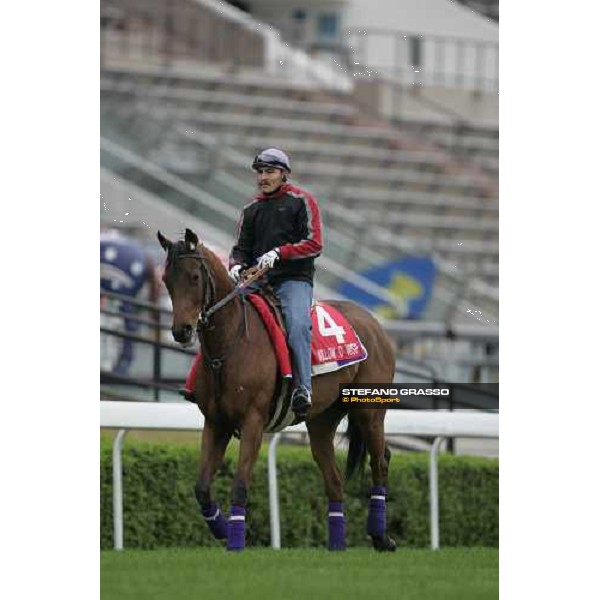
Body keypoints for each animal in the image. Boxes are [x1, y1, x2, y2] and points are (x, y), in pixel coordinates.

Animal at [157, 230, 396, 552]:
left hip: (369, 412)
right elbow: (202, 488)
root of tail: (374, 323)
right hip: (321, 421)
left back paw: (381, 537)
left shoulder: (253, 421)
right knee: (334, 479)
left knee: (380, 461)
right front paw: (224, 530)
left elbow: (240, 485)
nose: (181, 331)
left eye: (194, 277)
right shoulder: (216, 423)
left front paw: (236, 540)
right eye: (166, 279)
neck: (231, 343)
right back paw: (337, 544)